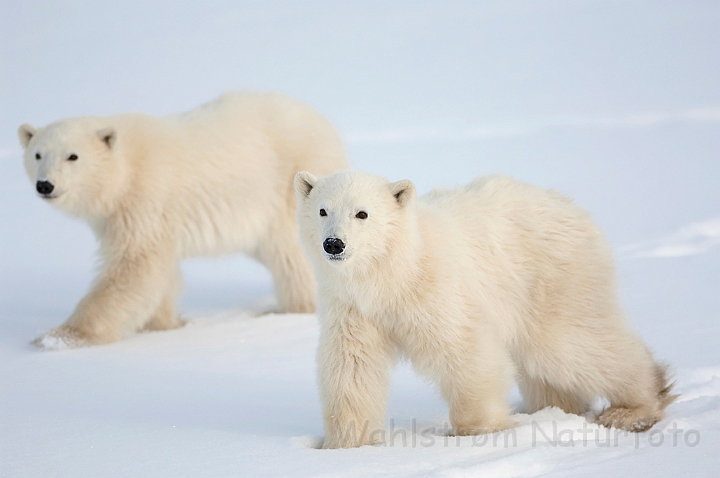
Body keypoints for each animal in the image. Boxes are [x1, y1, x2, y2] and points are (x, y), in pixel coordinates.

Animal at [19, 91, 348, 350]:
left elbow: (134, 265)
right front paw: (164, 325)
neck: (126, 168)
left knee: (290, 254)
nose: (45, 185)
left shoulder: (144, 198)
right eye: (37, 154)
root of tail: (324, 123)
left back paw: (289, 310)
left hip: (288, 184)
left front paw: (57, 337)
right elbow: (159, 273)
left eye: (72, 156)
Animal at [292, 171, 676, 448]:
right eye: (322, 210)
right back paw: (557, 409)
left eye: (362, 213)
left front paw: (479, 431)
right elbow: (352, 369)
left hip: (553, 281)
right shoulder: (354, 309)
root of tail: (571, 206)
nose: (334, 244)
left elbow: (466, 350)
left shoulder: (434, 290)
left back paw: (633, 409)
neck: (390, 274)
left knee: (572, 346)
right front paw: (343, 446)